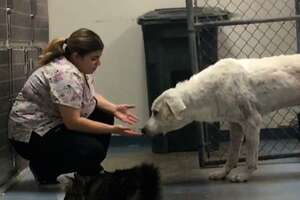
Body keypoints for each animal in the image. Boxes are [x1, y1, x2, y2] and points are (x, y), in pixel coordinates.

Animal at [142, 54, 300, 183]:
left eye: (155, 112)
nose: (142, 130)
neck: (212, 89)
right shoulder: (235, 125)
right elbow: (232, 156)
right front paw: (222, 173)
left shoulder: (252, 122)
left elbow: (250, 158)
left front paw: (244, 175)